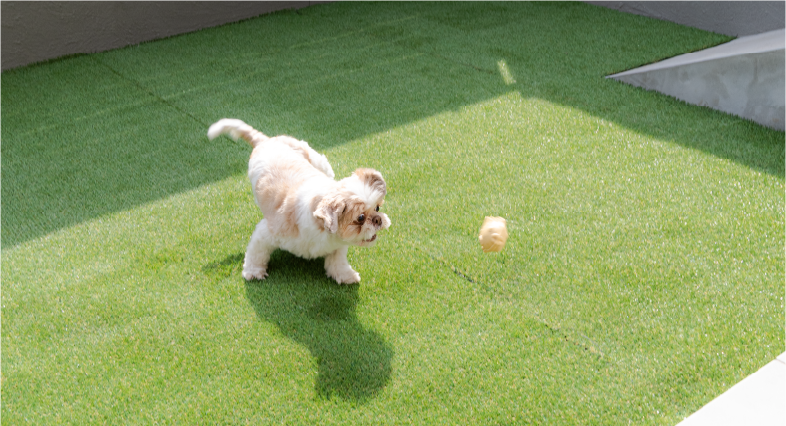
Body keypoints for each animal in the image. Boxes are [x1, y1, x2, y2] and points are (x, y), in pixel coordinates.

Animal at [205, 118, 388, 284]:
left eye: (377, 208)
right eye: (360, 218)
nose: (378, 220)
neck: (323, 231)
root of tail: (266, 141)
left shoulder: (337, 245)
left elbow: (338, 261)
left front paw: (345, 275)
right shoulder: (267, 233)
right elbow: (256, 252)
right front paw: (253, 272)